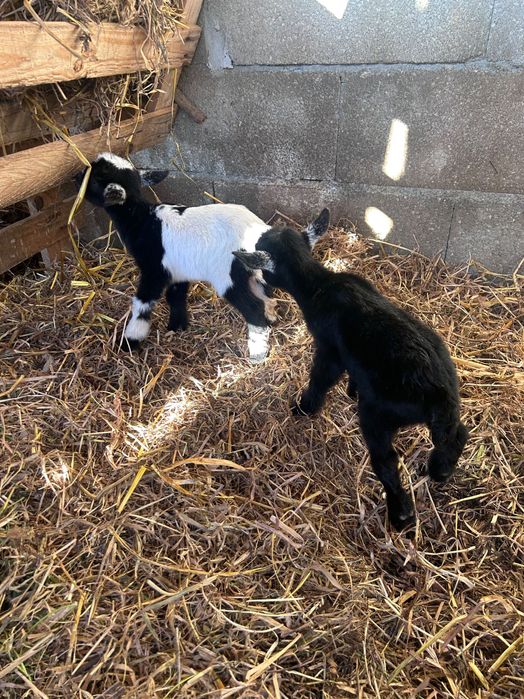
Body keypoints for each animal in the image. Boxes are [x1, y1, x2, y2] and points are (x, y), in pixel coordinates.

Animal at [76, 153, 278, 361]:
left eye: (96, 178)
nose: (75, 178)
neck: (142, 220)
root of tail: (257, 231)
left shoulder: (154, 270)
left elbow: (142, 303)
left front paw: (131, 339)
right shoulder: (178, 270)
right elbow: (175, 297)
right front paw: (177, 326)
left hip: (227, 276)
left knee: (253, 309)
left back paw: (257, 353)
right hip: (254, 272)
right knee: (267, 296)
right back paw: (269, 322)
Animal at [233, 209, 468, 531]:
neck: (318, 284)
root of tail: (437, 393)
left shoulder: (329, 348)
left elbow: (321, 377)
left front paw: (304, 407)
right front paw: (351, 388)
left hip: (376, 416)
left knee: (386, 462)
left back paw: (401, 514)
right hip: (446, 407)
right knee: (457, 433)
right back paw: (441, 471)